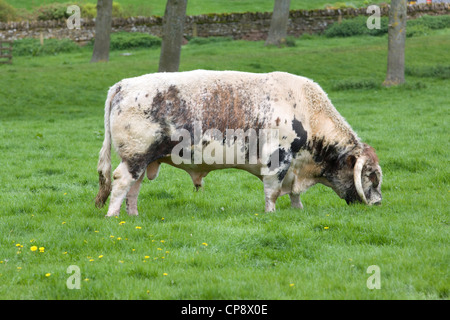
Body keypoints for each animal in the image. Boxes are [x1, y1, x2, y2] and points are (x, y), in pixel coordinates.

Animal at [96, 71, 384, 216]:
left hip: (144, 159)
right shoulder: (277, 159)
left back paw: (133, 215)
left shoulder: (293, 167)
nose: (379, 203)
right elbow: (272, 192)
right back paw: (113, 216)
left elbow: (294, 193)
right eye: (371, 175)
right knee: (121, 181)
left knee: (134, 187)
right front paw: (271, 214)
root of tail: (123, 84)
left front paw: (297, 210)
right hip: (135, 155)